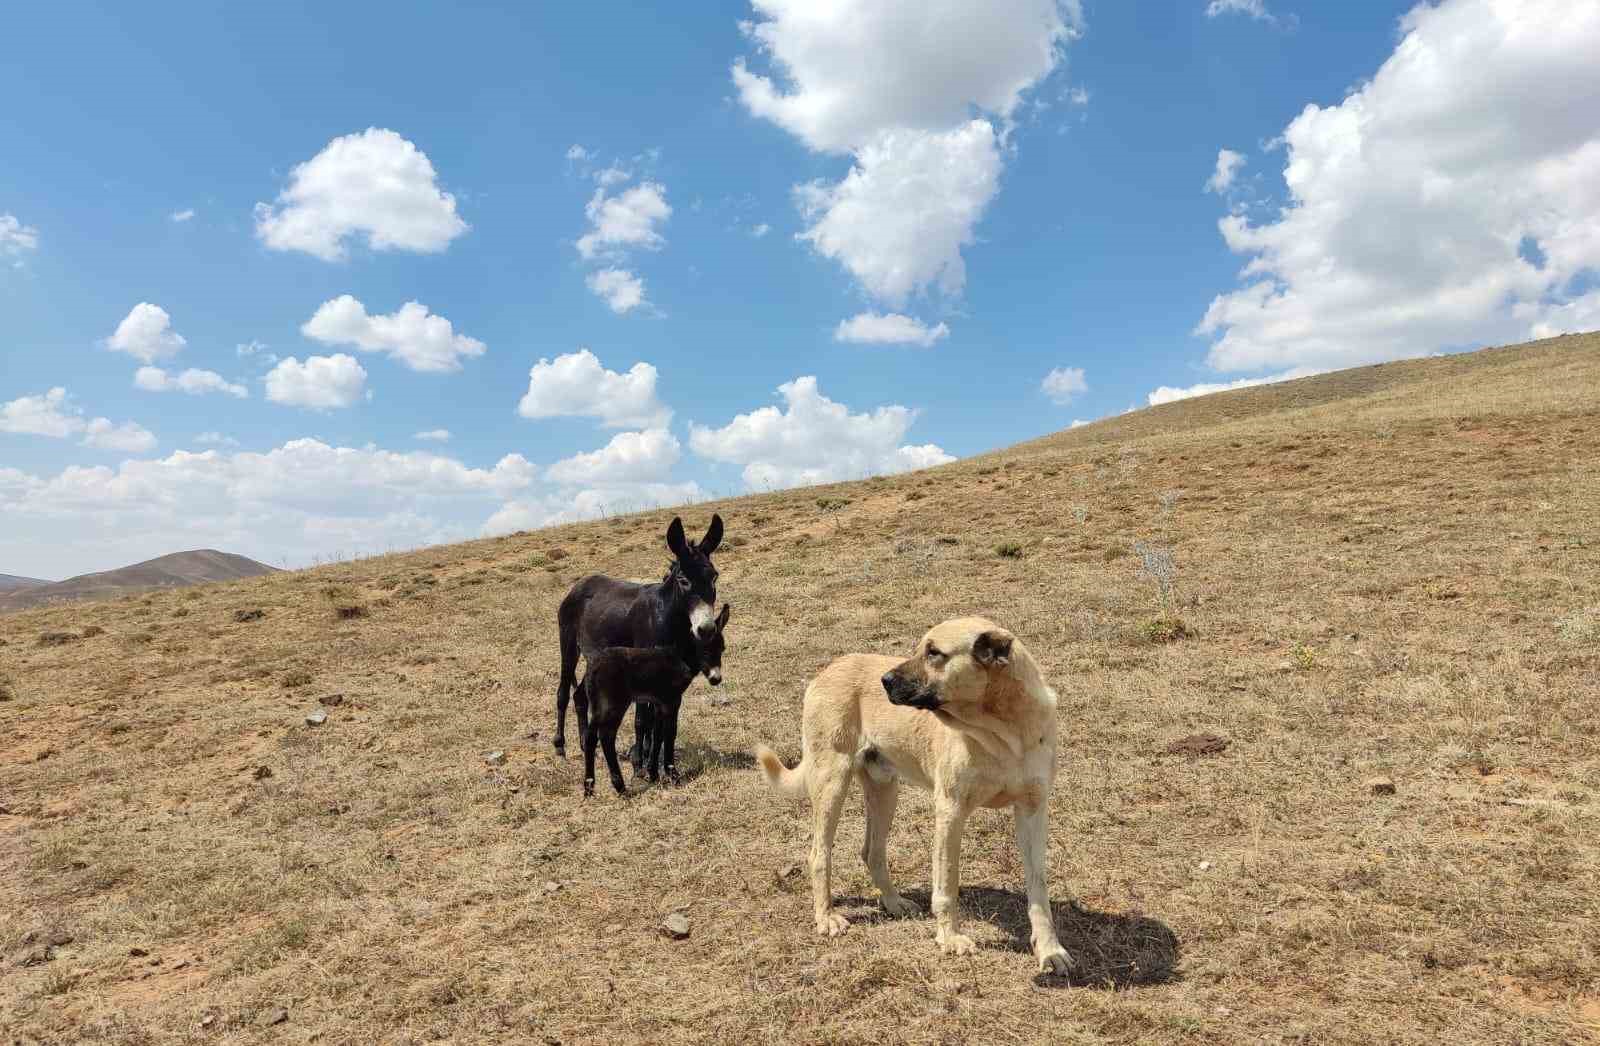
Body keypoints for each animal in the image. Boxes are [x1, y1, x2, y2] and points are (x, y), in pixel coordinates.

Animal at [752, 617, 1075, 978]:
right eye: (920, 648)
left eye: (934, 653)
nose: (884, 681)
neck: (1003, 733)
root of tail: (829, 668)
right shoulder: (950, 811)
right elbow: (946, 884)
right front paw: (950, 938)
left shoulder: (1033, 811)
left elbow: (1039, 888)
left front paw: (1050, 950)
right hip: (832, 781)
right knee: (819, 854)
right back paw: (827, 917)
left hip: (884, 790)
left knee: (872, 852)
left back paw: (893, 903)